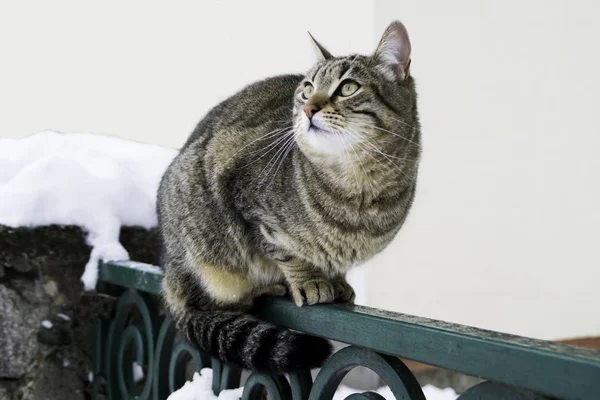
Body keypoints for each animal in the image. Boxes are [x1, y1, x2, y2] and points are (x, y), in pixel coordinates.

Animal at [159, 20, 422, 374]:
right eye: (307, 89)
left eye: (348, 88)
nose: (309, 108)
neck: (358, 187)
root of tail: (170, 278)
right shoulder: (245, 199)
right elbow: (284, 251)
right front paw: (310, 280)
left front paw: (336, 280)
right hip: (199, 232)